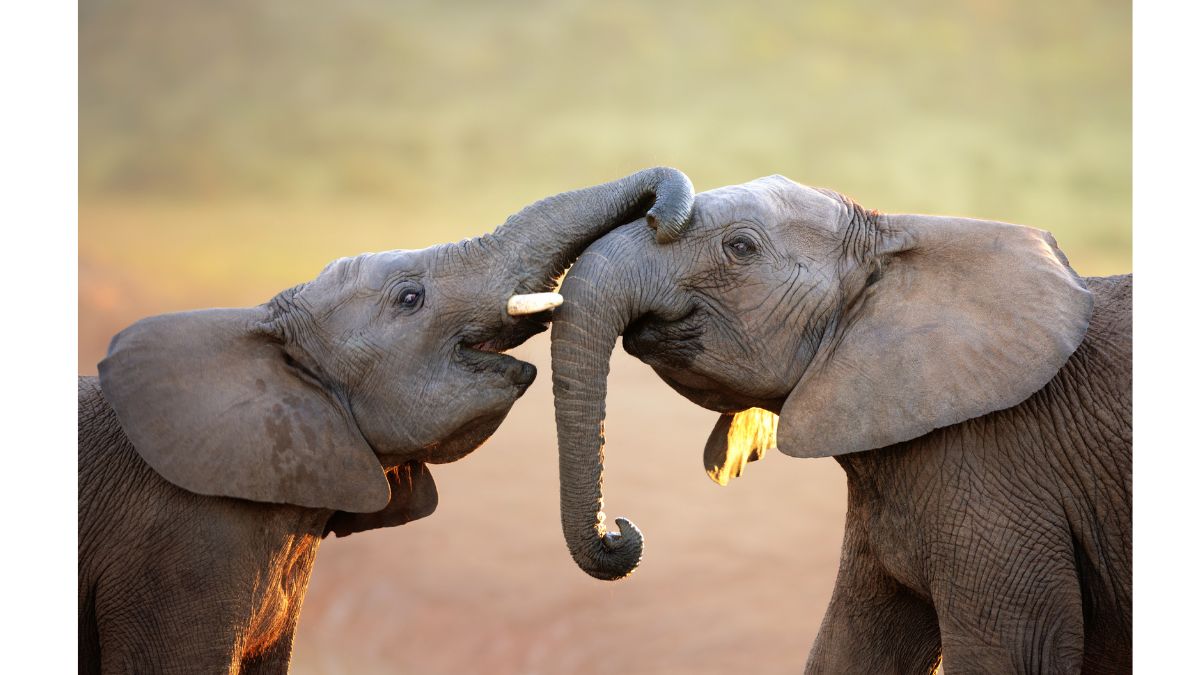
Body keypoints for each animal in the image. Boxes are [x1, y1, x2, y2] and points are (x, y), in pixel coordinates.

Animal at [549, 175, 1130, 673]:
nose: (619, 531)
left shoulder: (998, 470)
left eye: (741, 247)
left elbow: (1011, 655)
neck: (895, 238)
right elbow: (849, 649)